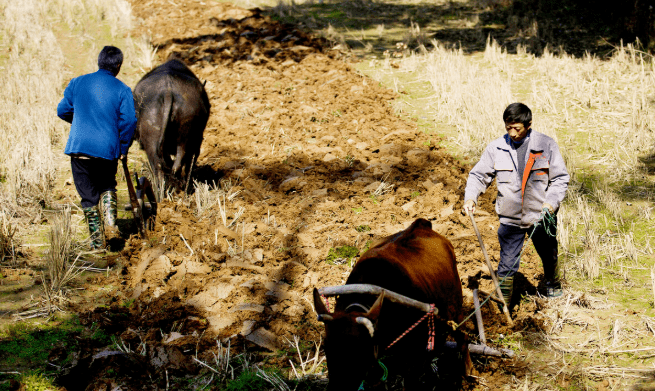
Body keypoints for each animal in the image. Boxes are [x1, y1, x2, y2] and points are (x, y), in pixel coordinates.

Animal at [316, 219, 474, 390]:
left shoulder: (414, 353)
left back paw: (468, 371)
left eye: (358, 349)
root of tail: (422, 224)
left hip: (455, 309)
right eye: (326, 347)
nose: (337, 386)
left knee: (462, 337)